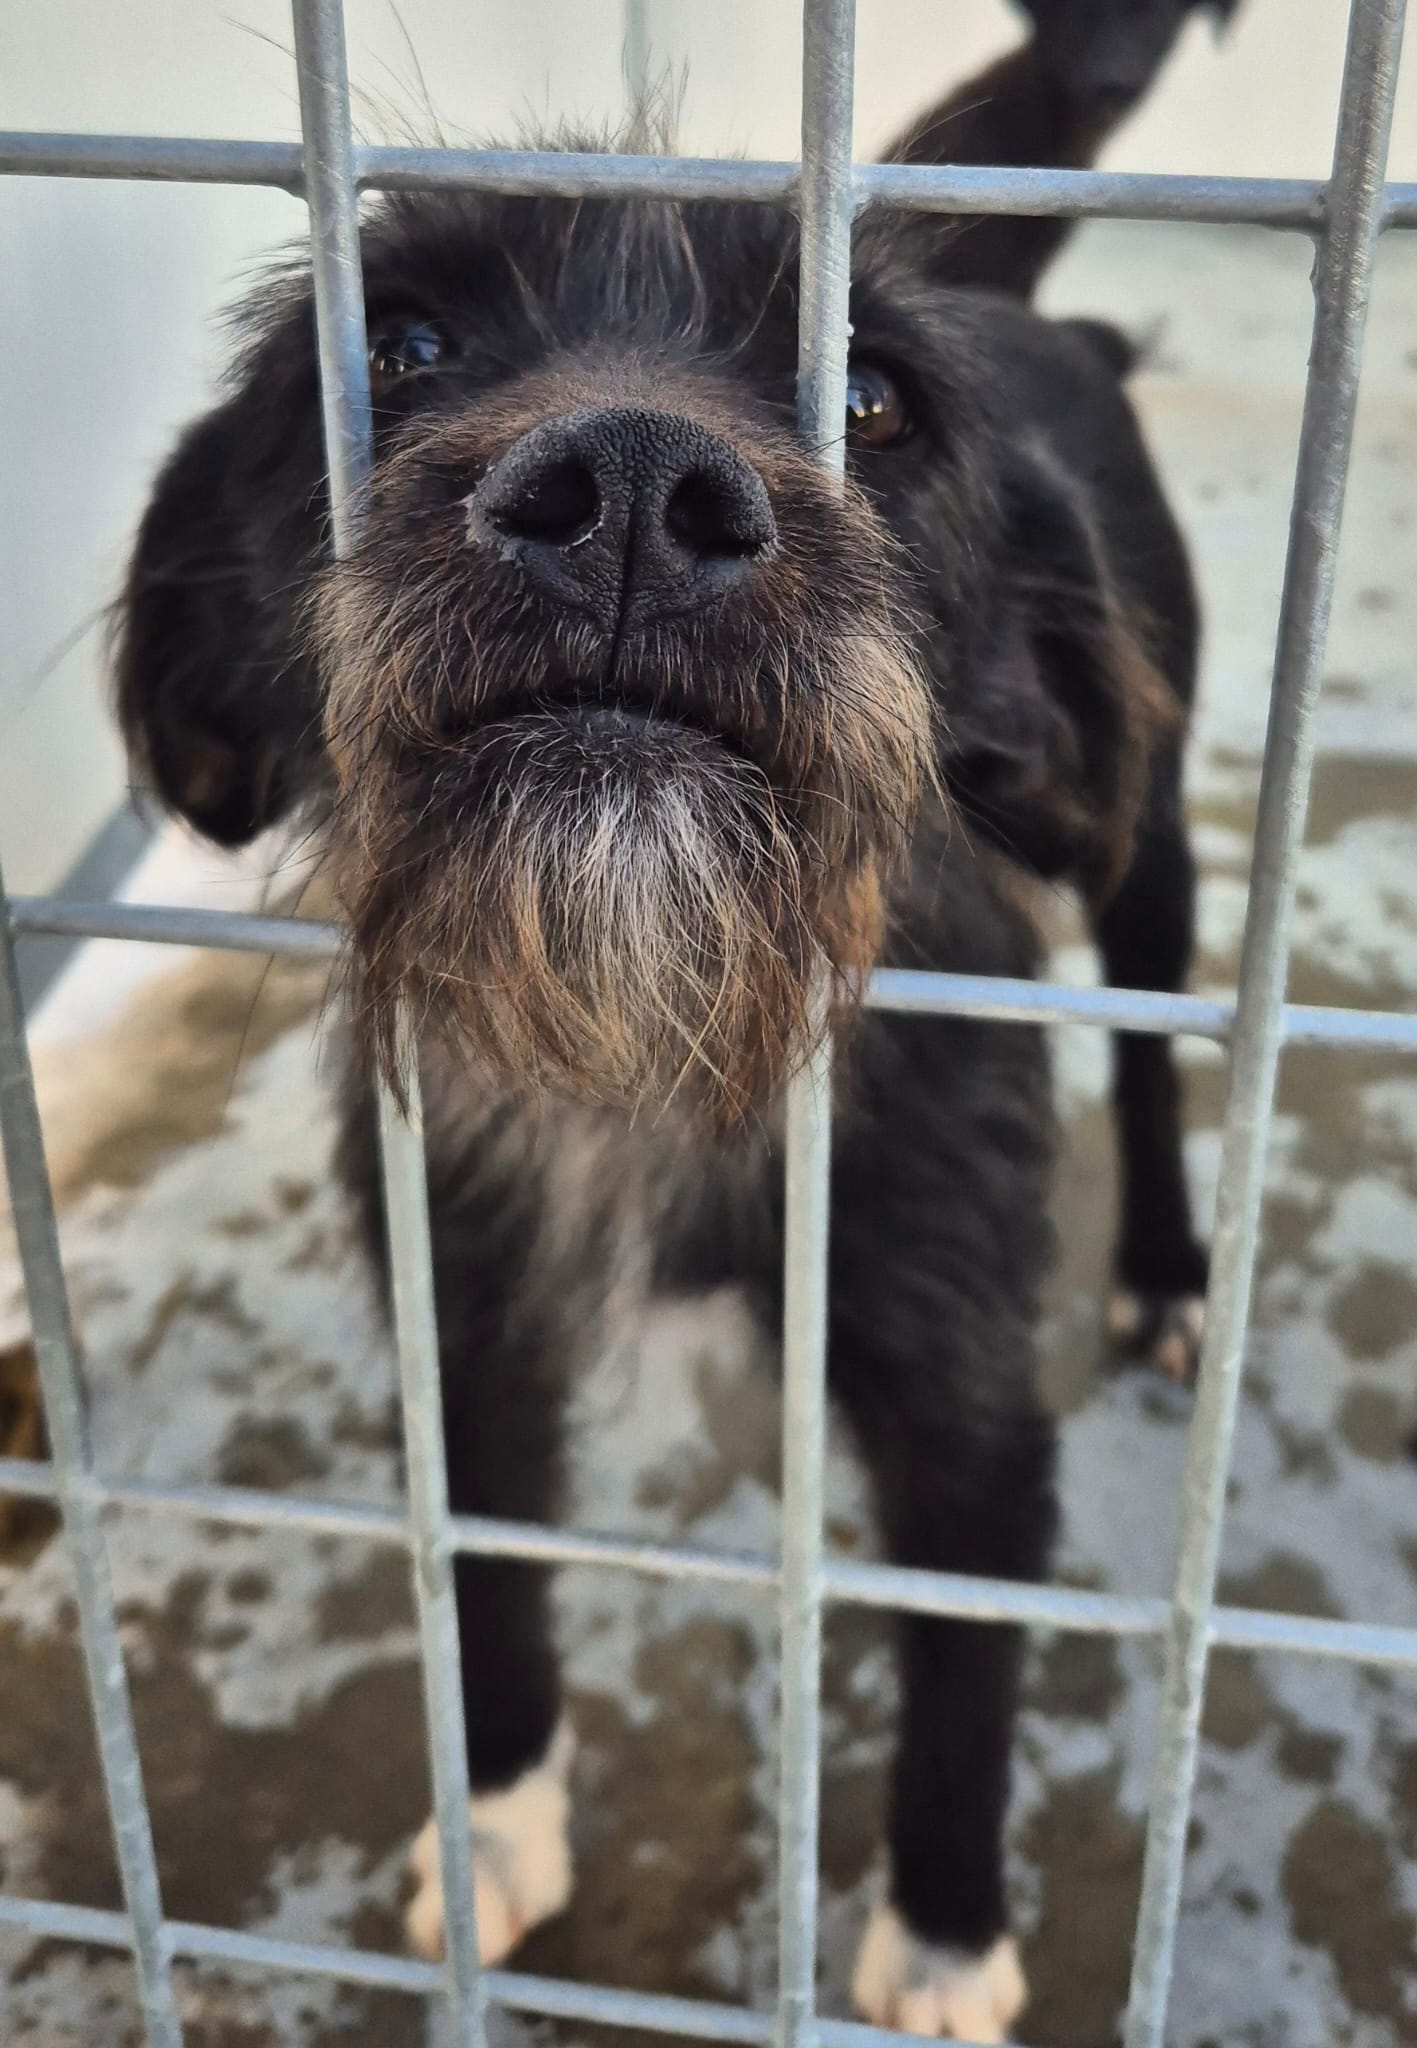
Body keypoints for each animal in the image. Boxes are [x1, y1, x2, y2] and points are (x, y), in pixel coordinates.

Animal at [112, 3, 1224, 2034]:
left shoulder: (961, 1399)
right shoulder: (465, 1323)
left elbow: (966, 1674)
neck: (657, 1025)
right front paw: (496, 1819)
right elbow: (481, 1583)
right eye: (405, 344)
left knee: (1154, 1035)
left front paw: (945, 1935)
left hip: (1152, 843)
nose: (630, 488)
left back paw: (1175, 1265)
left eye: (869, 400)